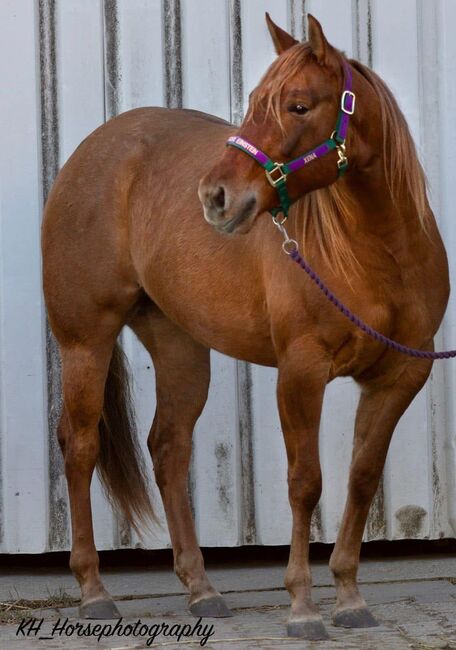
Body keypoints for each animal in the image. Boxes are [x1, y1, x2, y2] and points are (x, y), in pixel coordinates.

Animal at [41, 12, 449, 641]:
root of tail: (92, 150)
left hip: (179, 344)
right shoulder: (300, 371)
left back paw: (202, 589)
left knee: (169, 448)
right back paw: (93, 592)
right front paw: (302, 607)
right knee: (80, 446)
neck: (379, 256)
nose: (215, 196)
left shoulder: (399, 377)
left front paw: (350, 598)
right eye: (257, 101)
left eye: (299, 106)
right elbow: (306, 483)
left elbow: (360, 478)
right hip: (85, 340)